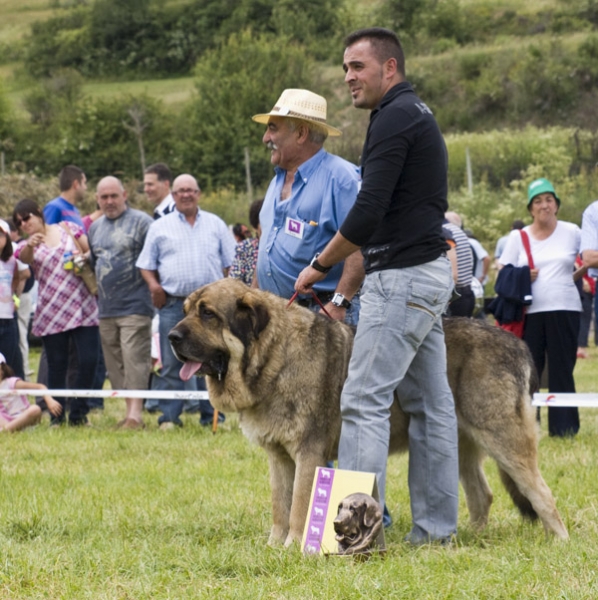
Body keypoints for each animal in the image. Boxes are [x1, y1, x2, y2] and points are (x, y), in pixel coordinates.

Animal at [169, 278, 572, 548]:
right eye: (187, 312)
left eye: (208, 314)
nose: (172, 337)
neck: (272, 357)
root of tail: (517, 343)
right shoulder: (279, 457)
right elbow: (280, 507)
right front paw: (274, 547)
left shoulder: (308, 455)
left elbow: (299, 506)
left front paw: (294, 548)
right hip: (459, 441)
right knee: (481, 494)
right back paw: (468, 538)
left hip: (505, 439)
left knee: (541, 493)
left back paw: (559, 540)